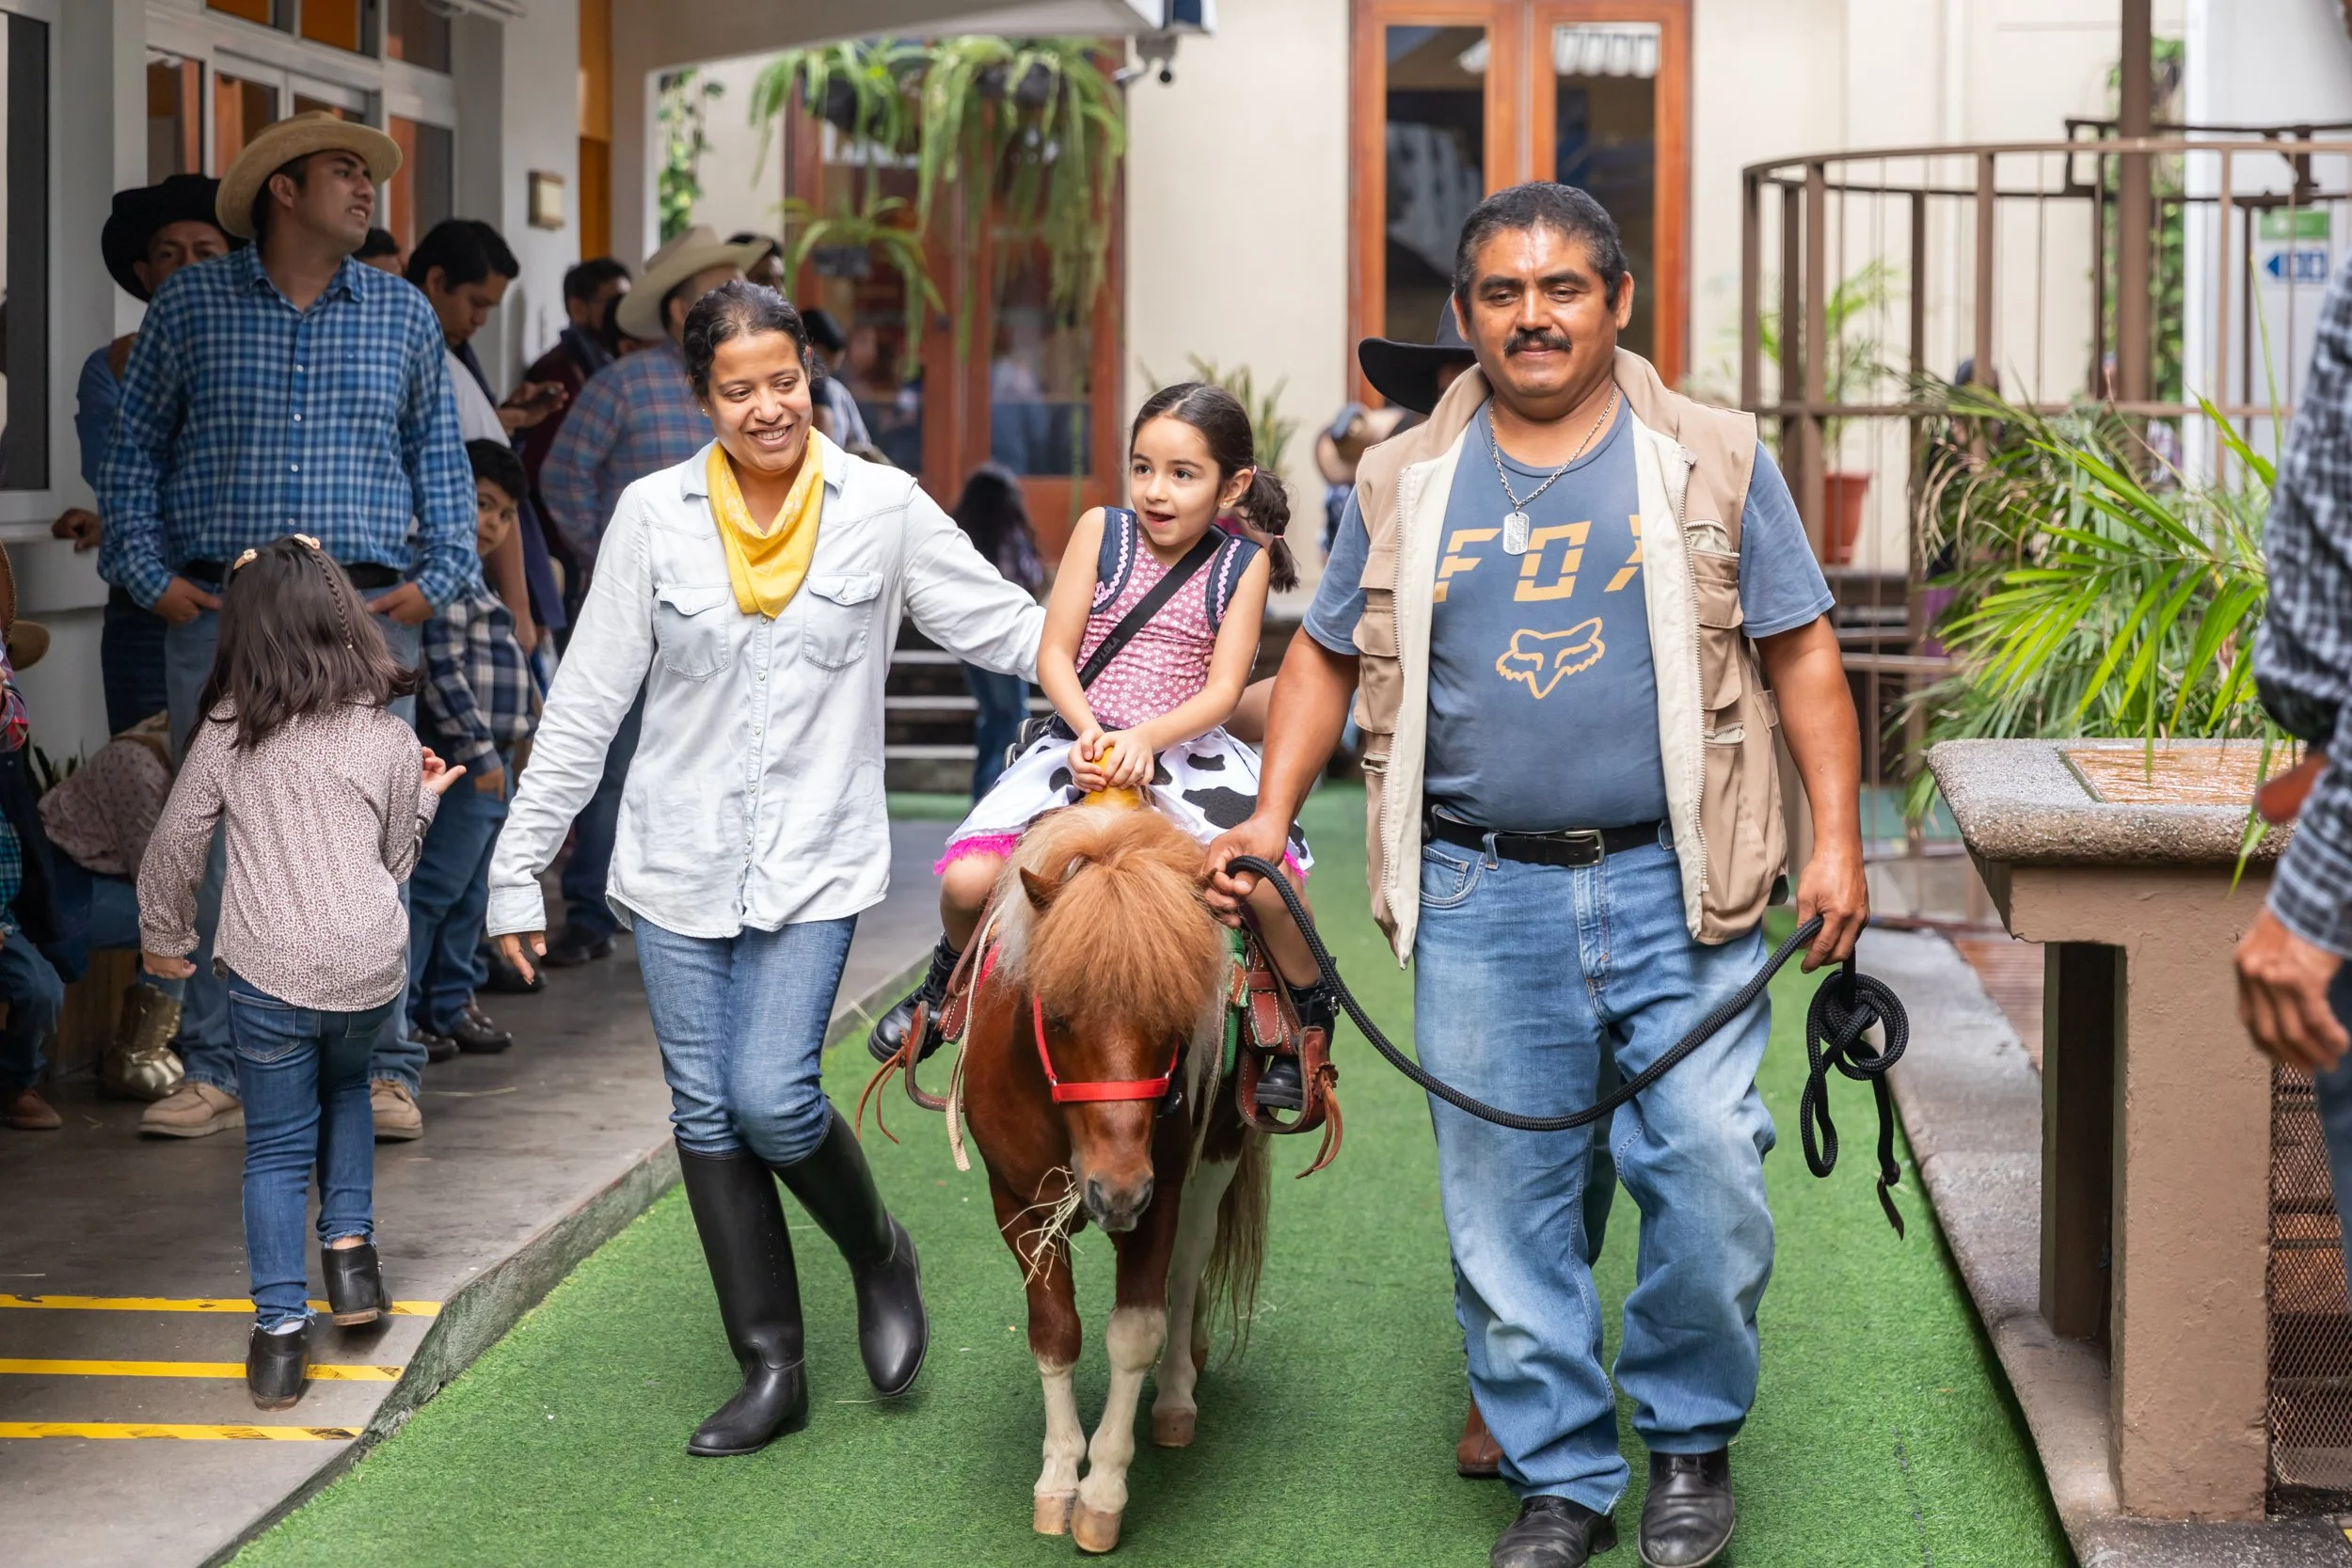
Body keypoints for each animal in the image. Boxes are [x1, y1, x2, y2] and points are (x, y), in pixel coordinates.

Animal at [958, 803, 1271, 1555]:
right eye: (1057, 1015)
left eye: (1176, 1019)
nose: (1117, 1188)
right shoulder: (1018, 1203)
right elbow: (1055, 1332)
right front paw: (1058, 1477)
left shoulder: (1161, 1195)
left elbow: (1135, 1332)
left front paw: (1102, 1491)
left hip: (1214, 1159)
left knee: (1186, 1271)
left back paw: (1179, 1392)